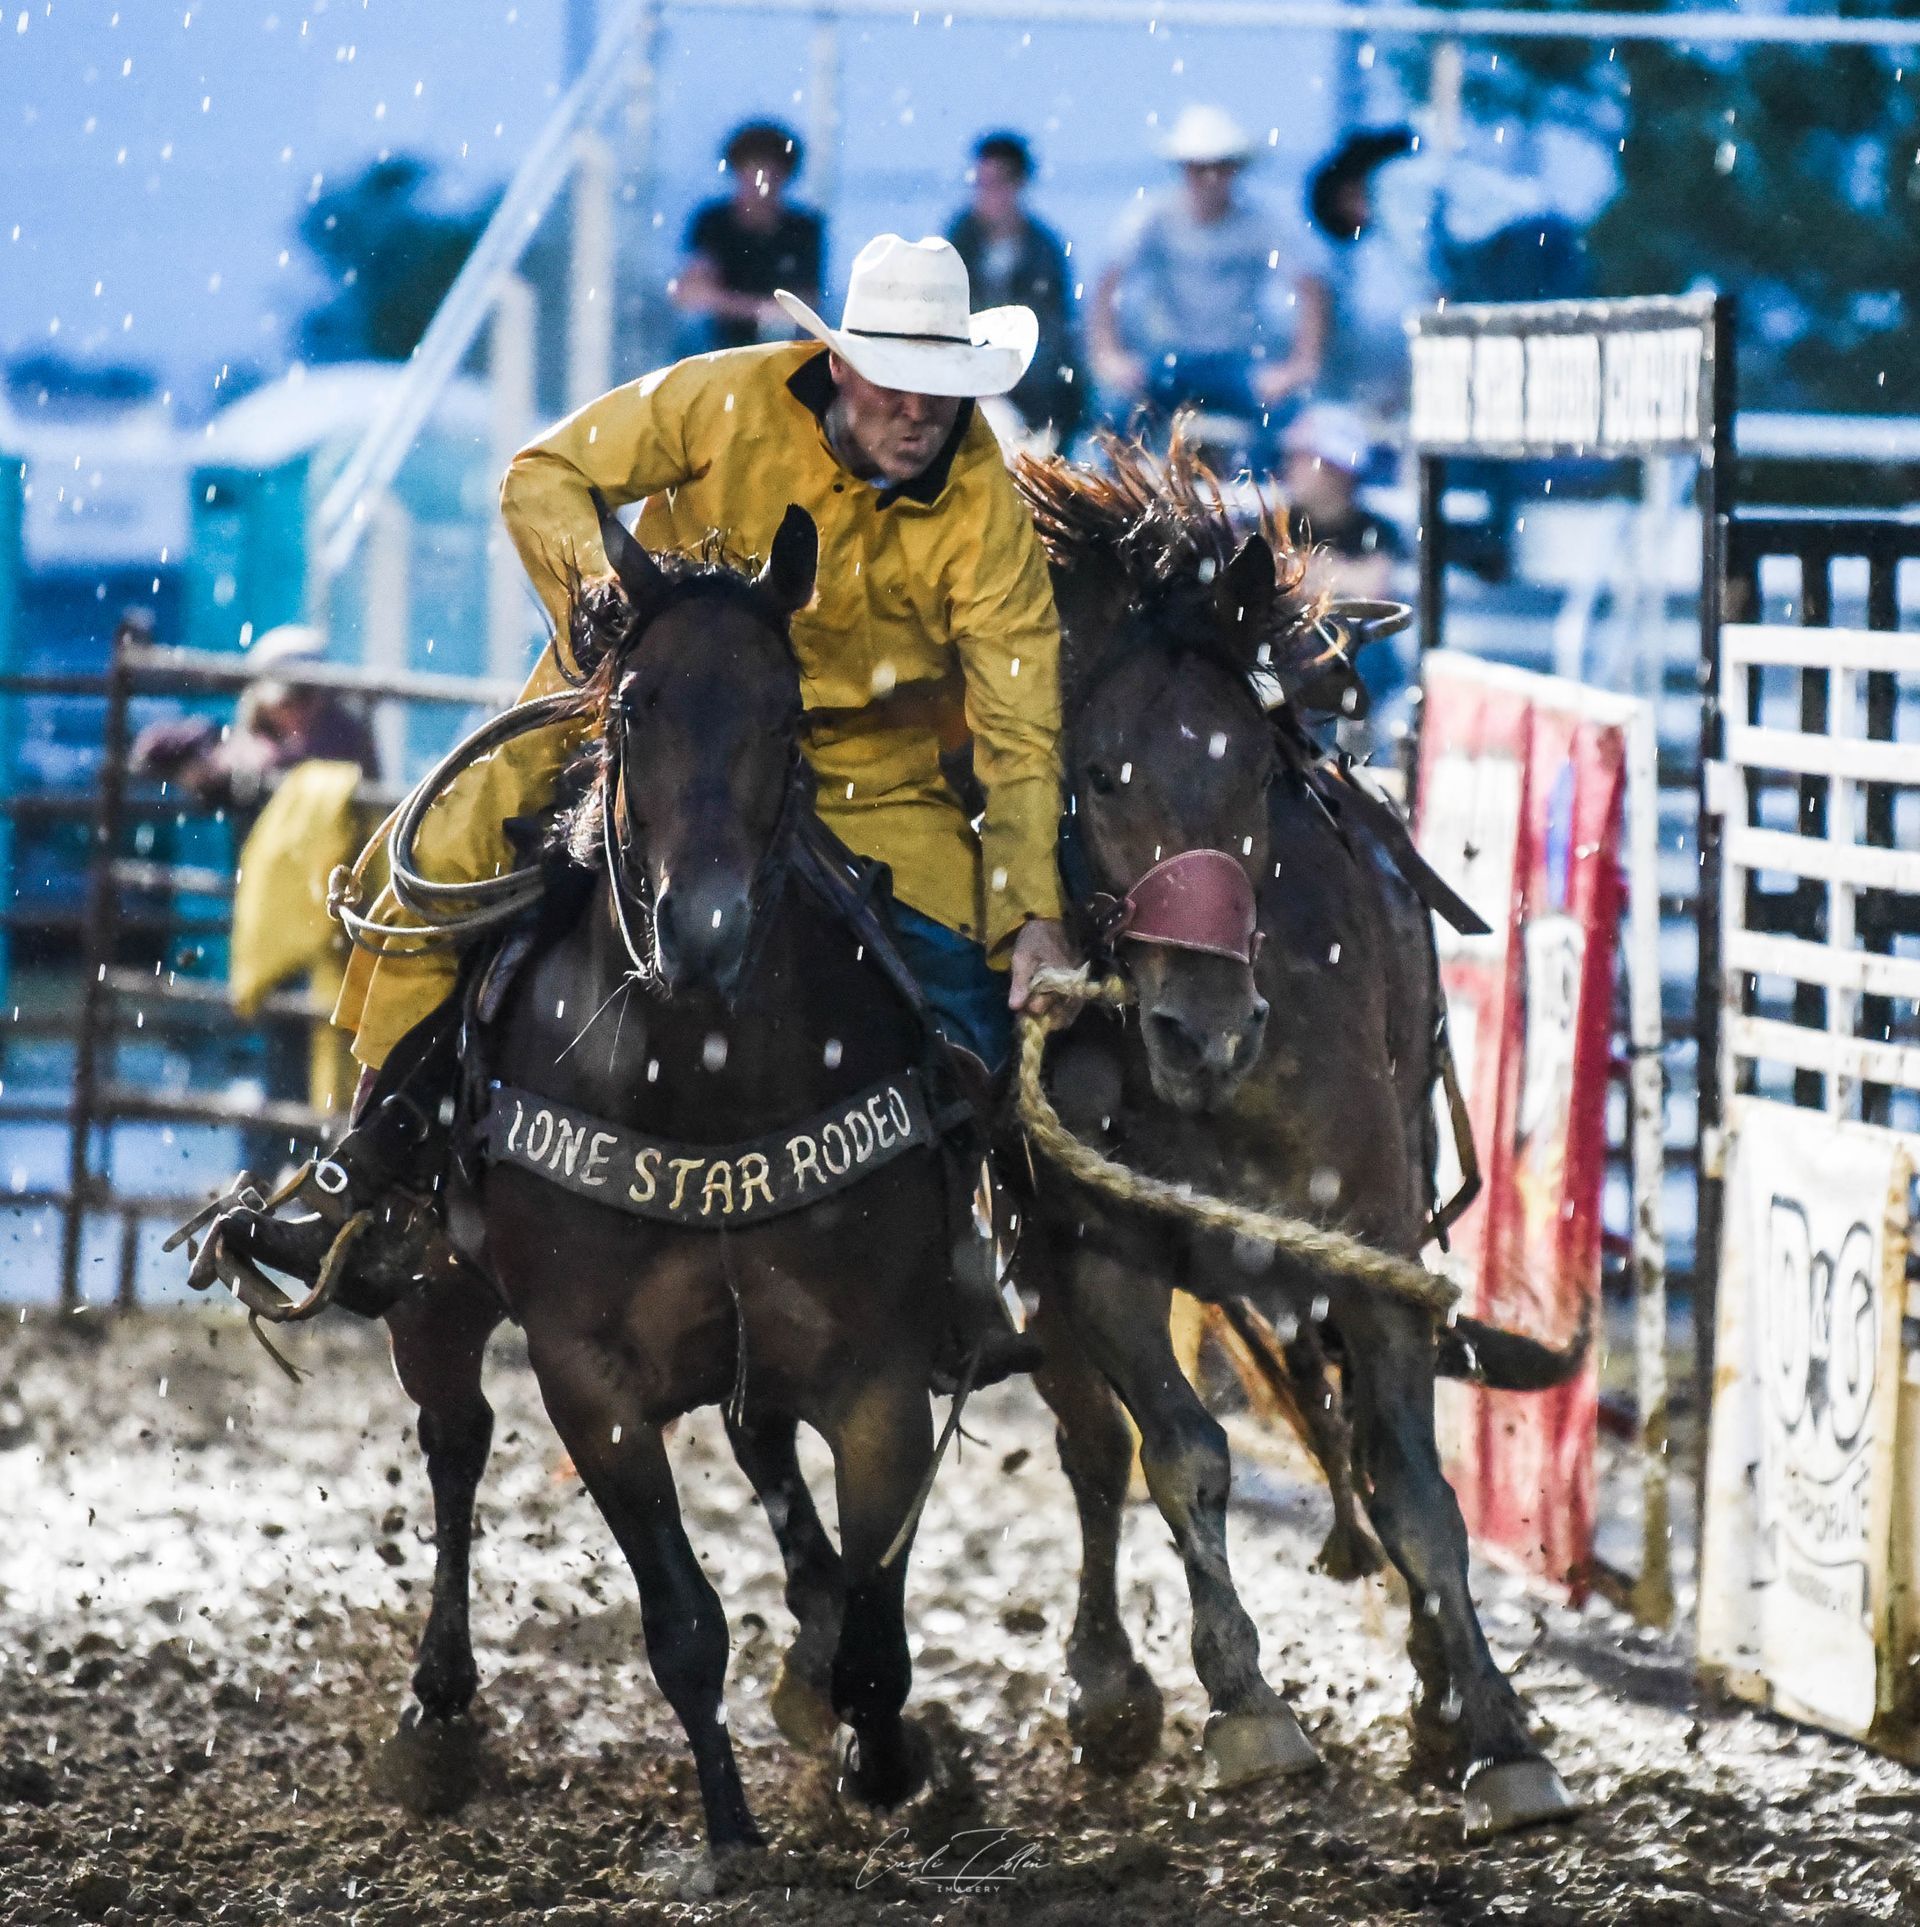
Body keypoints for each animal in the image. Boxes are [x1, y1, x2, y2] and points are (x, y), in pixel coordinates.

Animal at [362, 504, 952, 1857]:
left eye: (789, 712)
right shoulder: (590, 1379)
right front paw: (730, 1829)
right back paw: (437, 1706)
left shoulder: (879, 1373)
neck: (703, 1084)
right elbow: (684, 1625)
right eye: (634, 704)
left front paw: (884, 1756)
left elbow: (880, 1618)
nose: (704, 929)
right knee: (456, 1444)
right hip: (433, 1288)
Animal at [1010, 443, 1580, 1842]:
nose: (1203, 1025)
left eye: (1247, 776)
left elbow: (1418, 1493)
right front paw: (1246, 1701)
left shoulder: (1373, 1241)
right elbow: (1181, 1458)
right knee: (1094, 1449)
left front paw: (1489, 1728)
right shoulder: (1098, 1251)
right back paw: (1108, 1690)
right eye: (1098, 776)